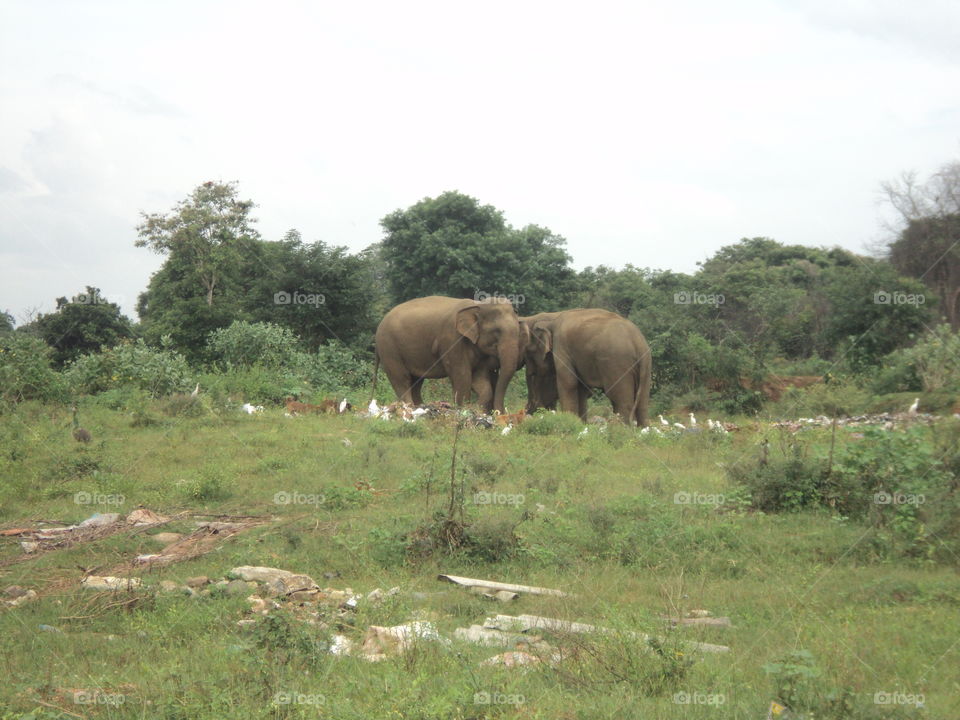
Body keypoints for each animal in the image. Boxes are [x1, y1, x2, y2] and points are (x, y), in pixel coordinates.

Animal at [374, 296, 527, 414]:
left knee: (416, 381)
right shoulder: (452, 340)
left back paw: (421, 407)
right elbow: (463, 376)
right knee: (401, 379)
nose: (499, 414)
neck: (476, 305)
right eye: (496, 331)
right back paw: (410, 408)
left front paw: (475, 409)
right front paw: (463, 410)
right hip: (389, 348)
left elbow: (481, 381)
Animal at [523, 309, 652, 426]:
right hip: (646, 366)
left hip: (617, 364)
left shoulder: (561, 347)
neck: (552, 320)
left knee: (621, 401)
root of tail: (638, 344)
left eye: (529, 352)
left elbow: (568, 383)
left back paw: (620, 429)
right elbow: (581, 388)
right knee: (642, 404)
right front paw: (580, 424)